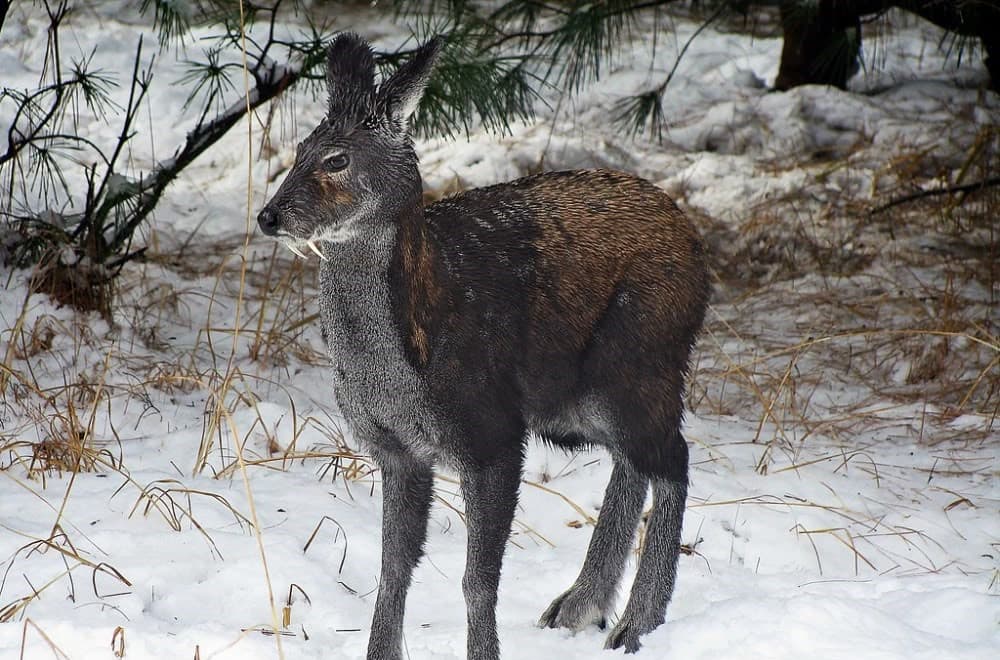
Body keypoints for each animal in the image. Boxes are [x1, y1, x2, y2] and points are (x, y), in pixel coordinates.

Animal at [256, 32, 710, 660]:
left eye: (337, 159)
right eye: (300, 148)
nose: (269, 216)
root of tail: (695, 243)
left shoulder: (493, 433)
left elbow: (478, 579)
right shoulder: (396, 450)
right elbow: (392, 569)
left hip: (639, 358)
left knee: (672, 458)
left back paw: (635, 624)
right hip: (572, 403)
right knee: (637, 458)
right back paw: (581, 606)